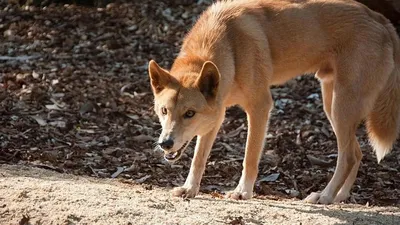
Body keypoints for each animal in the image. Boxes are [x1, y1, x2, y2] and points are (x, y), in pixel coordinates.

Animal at [148, 0, 400, 204]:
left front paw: (243, 192)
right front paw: (189, 189)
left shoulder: (260, 107)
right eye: (164, 111)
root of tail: (380, 19)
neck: (228, 43)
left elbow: (249, 156)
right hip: (333, 106)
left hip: (342, 107)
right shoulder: (216, 115)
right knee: (356, 154)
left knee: (347, 157)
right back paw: (340, 196)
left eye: (189, 113)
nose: (165, 143)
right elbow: (198, 158)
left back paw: (325, 196)